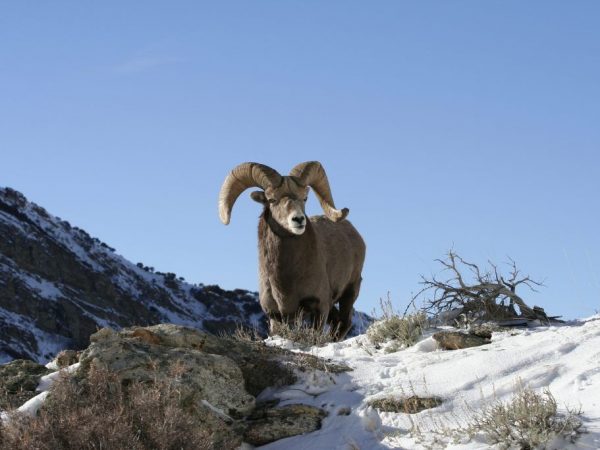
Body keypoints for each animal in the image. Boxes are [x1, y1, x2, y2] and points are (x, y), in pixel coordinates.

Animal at [218, 160, 364, 340]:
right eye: (272, 199)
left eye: (304, 198)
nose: (298, 220)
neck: (285, 280)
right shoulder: (276, 316)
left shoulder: (319, 307)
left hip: (350, 291)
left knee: (343, 322)